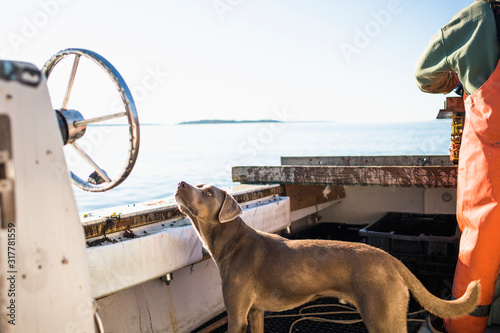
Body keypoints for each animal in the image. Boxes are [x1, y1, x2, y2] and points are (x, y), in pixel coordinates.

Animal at [174, 180, 478, 330]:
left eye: (208, 192)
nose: (181, 183)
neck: (233, 241)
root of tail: (391, 259)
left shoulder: (236, 316)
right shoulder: (256, 313)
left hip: (383, 316)